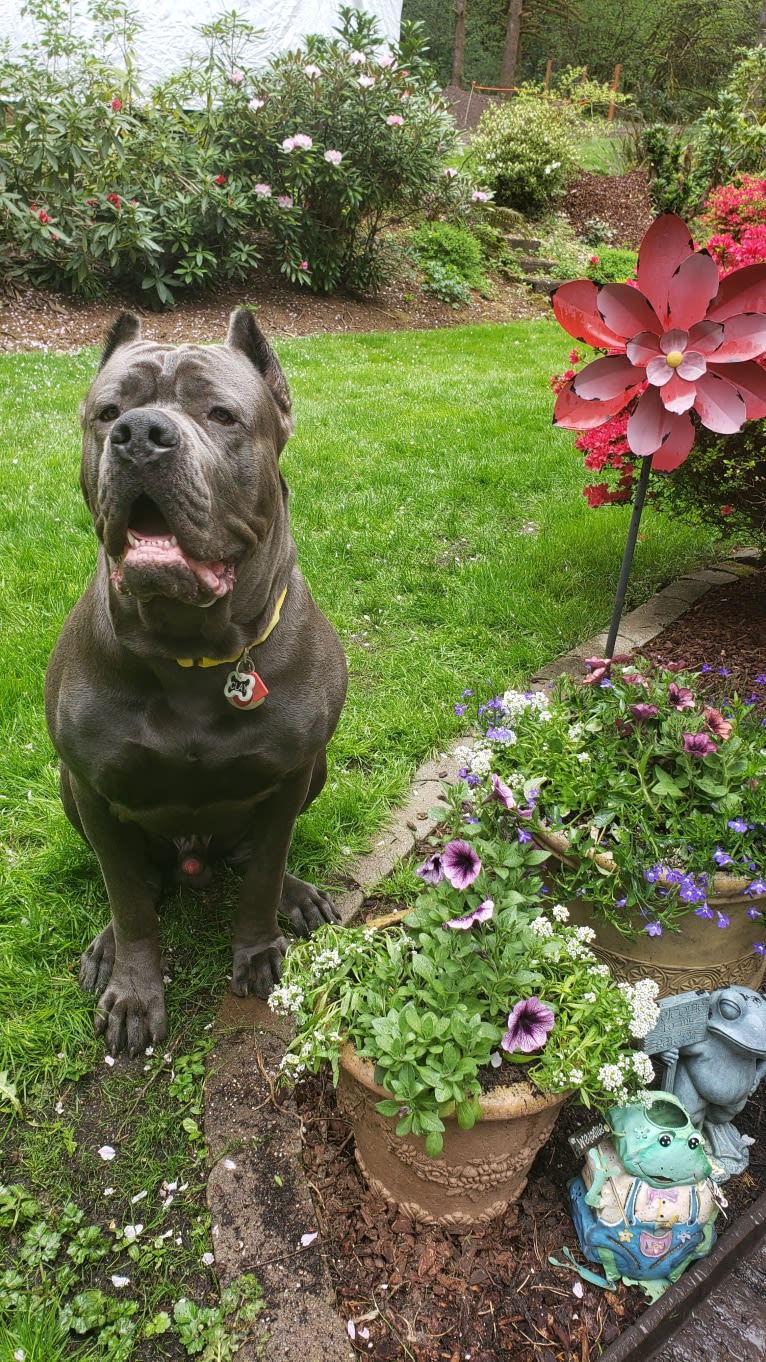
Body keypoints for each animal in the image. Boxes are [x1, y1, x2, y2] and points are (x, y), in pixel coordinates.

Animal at [44, 309, 346, 1051]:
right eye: (107, 413)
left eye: (221, 414)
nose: (140, 436)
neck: (191, 656)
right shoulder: (92, 788)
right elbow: (127, 898)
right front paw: (133, 990)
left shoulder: (291, 774)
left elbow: (262, 872)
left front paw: (260, 950)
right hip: (68, 791)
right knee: (138, 882)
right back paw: (106, 947)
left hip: (317, 770)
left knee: (253, 856)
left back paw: (299, 894)